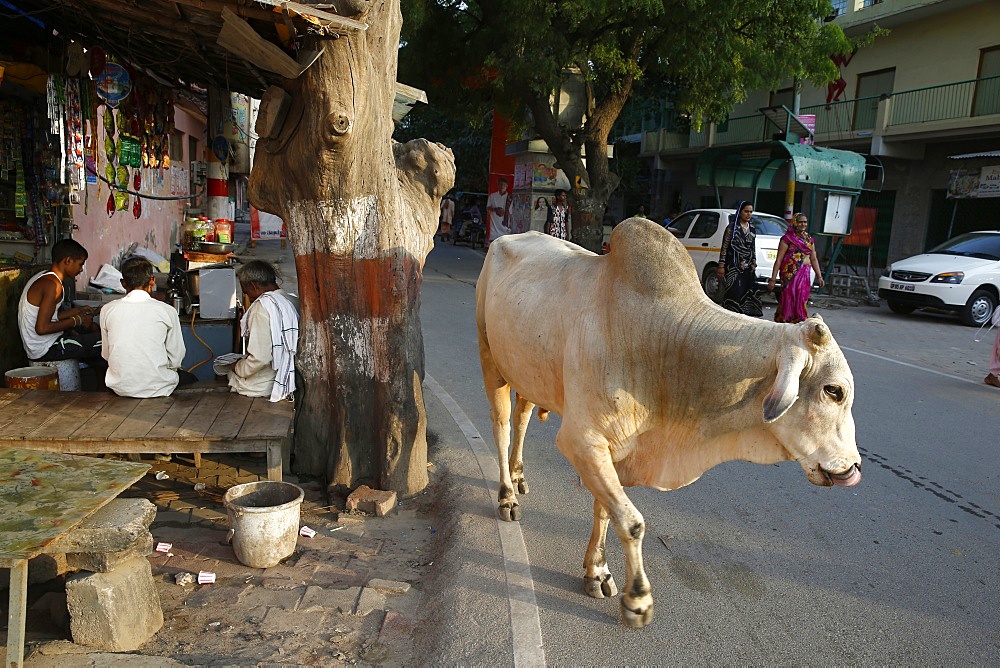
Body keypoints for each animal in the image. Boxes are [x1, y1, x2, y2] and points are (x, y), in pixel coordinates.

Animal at [474, 218, 860, 628]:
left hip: (529, 372)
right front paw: (637, 599)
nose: (853, 467)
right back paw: (506, 494)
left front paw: (597, 572)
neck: (664, 345)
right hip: (490, 358)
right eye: (834, 390)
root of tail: (506, 238)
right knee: (501, 425)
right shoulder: (582, 441)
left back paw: (518, 475)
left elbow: (606, 510)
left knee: (523, 416)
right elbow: (631, 522)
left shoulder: (615, 450)